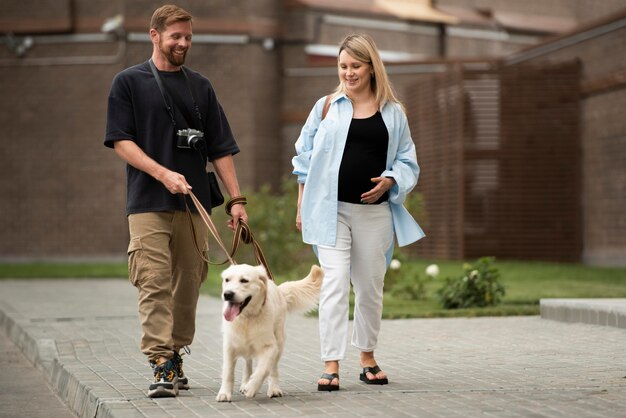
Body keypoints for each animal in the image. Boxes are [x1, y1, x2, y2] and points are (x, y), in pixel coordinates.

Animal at [214, 264, 322, 402]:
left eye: (244, 280)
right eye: (227, 280)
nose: (227, 294)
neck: (247, 318)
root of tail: (278, 290)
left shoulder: (270, 346)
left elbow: (263, 369)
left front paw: (251, 387)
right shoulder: (229, 346)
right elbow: (228, 372)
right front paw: (224, 393)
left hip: (279, 342)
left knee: (273, 369)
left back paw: (274, 389)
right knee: (248, 363)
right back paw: (245, 383)